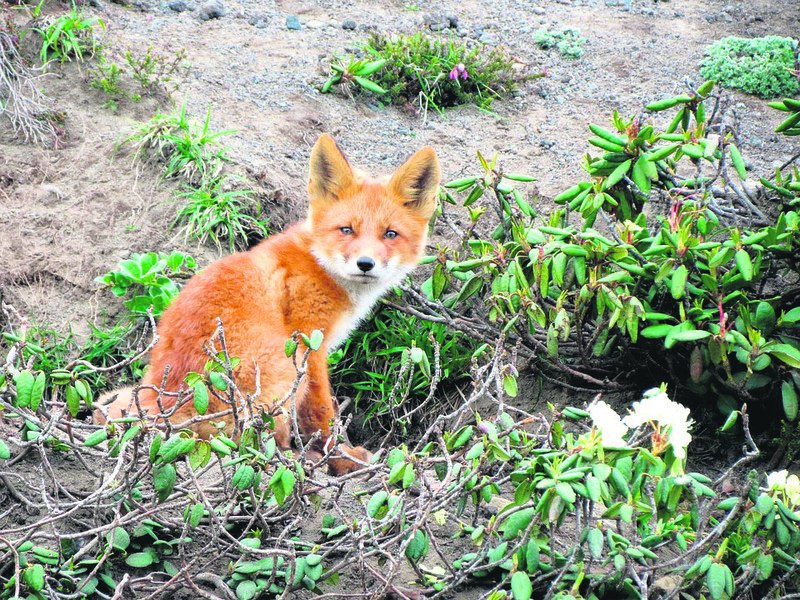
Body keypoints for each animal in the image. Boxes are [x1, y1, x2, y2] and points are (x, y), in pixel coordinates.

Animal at [98, 135, 444, 474]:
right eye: (347, 230)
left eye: (390, 234)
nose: (365, 264)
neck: (318, 264)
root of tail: (174, 403)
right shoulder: (309, 345)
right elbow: (321, 413)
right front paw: (342, 458)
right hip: (282, 369)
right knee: (254, 443)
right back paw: (299, 460)